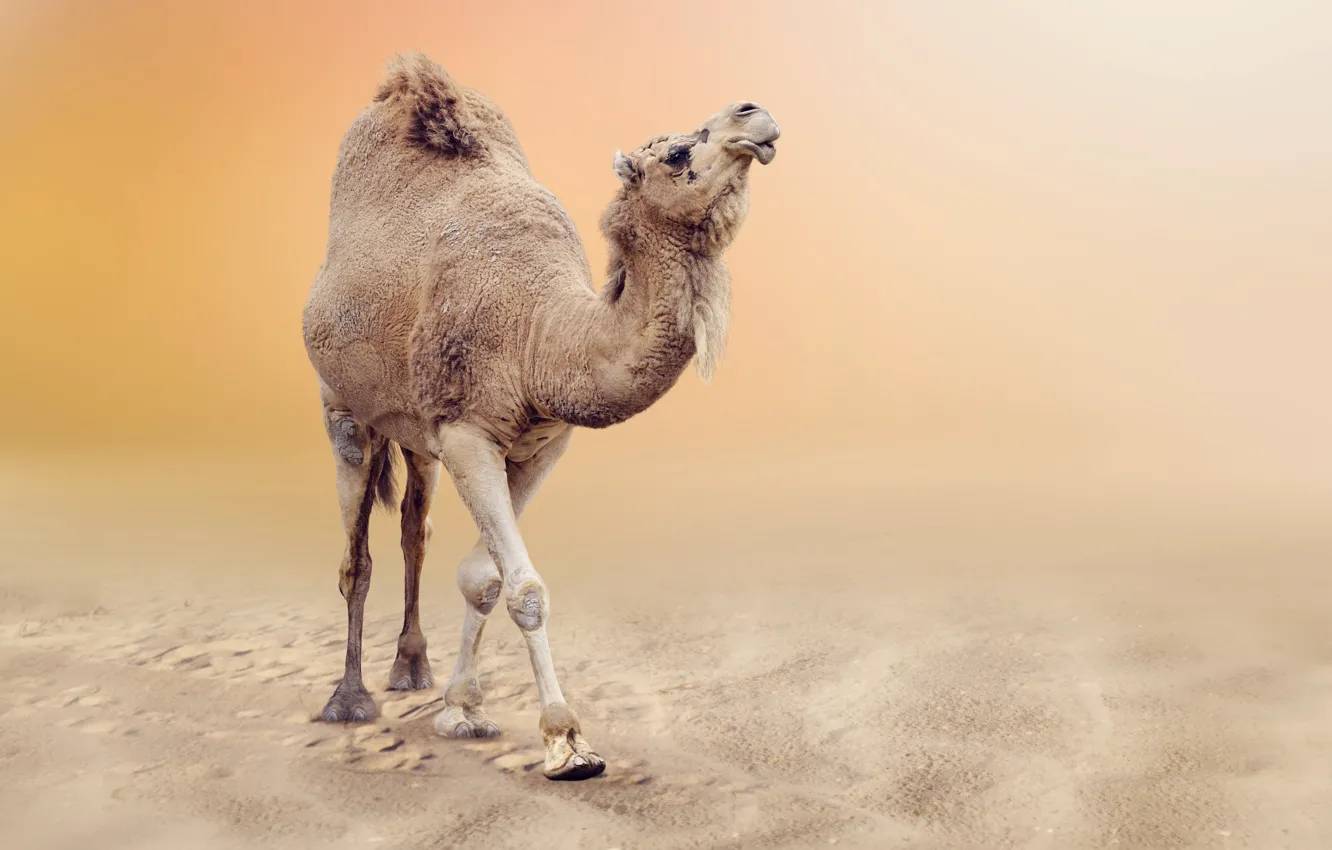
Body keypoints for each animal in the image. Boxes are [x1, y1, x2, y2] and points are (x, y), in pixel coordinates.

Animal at [301, 54, 779, 781]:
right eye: (676, 152)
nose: (755, 114)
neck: (544, 337)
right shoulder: (468, 432)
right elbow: (523, 587)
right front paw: (566, 742)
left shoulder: (538, 445)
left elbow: (483, 580)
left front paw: (463, 710)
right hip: (341, 404)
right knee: (356, 555)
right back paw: (349, 699)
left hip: (415, 428)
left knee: (415, 527)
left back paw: (411, 669)